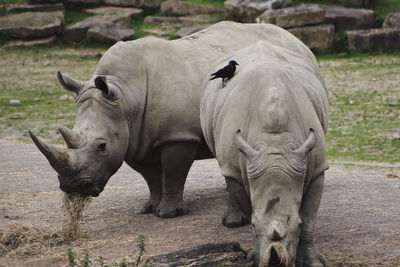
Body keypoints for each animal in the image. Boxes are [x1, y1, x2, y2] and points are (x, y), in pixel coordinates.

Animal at [200, 40, 328, 267]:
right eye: (253, 225)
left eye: (297, 224)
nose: (276, 262)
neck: (274, 143)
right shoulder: (239, 167)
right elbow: (247, 200)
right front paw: (253, 256)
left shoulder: (316, 167)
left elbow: (310, 218)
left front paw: (312, 261)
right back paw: (232, 222)